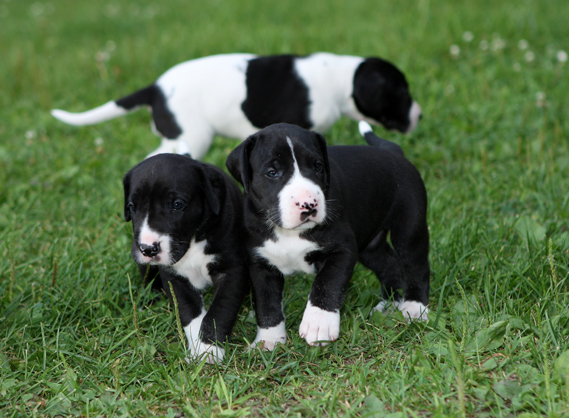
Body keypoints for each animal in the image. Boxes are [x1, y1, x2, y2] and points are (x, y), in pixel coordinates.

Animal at [123, 154, 247, 362]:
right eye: (132, 207)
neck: (194, 238)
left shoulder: (231, 272)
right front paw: (199, 347)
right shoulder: (174, 277)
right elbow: (190, 311)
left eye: (177, 205)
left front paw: (209, 348)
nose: (148, 249)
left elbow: (220, 310)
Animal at [224, 121, 428, 350]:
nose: (309, 204)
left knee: (416, 266)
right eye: (272, 172)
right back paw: (389, 305)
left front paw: (318, 324)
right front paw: (269, 340)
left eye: (318, 166)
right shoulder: (261, 264)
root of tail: (392, 151)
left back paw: (415, 308)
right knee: (390, 264)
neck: (289, 232)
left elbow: (327, 283)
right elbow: (266, 302)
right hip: (370, 245)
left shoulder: (342, 250)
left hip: (409, 225)